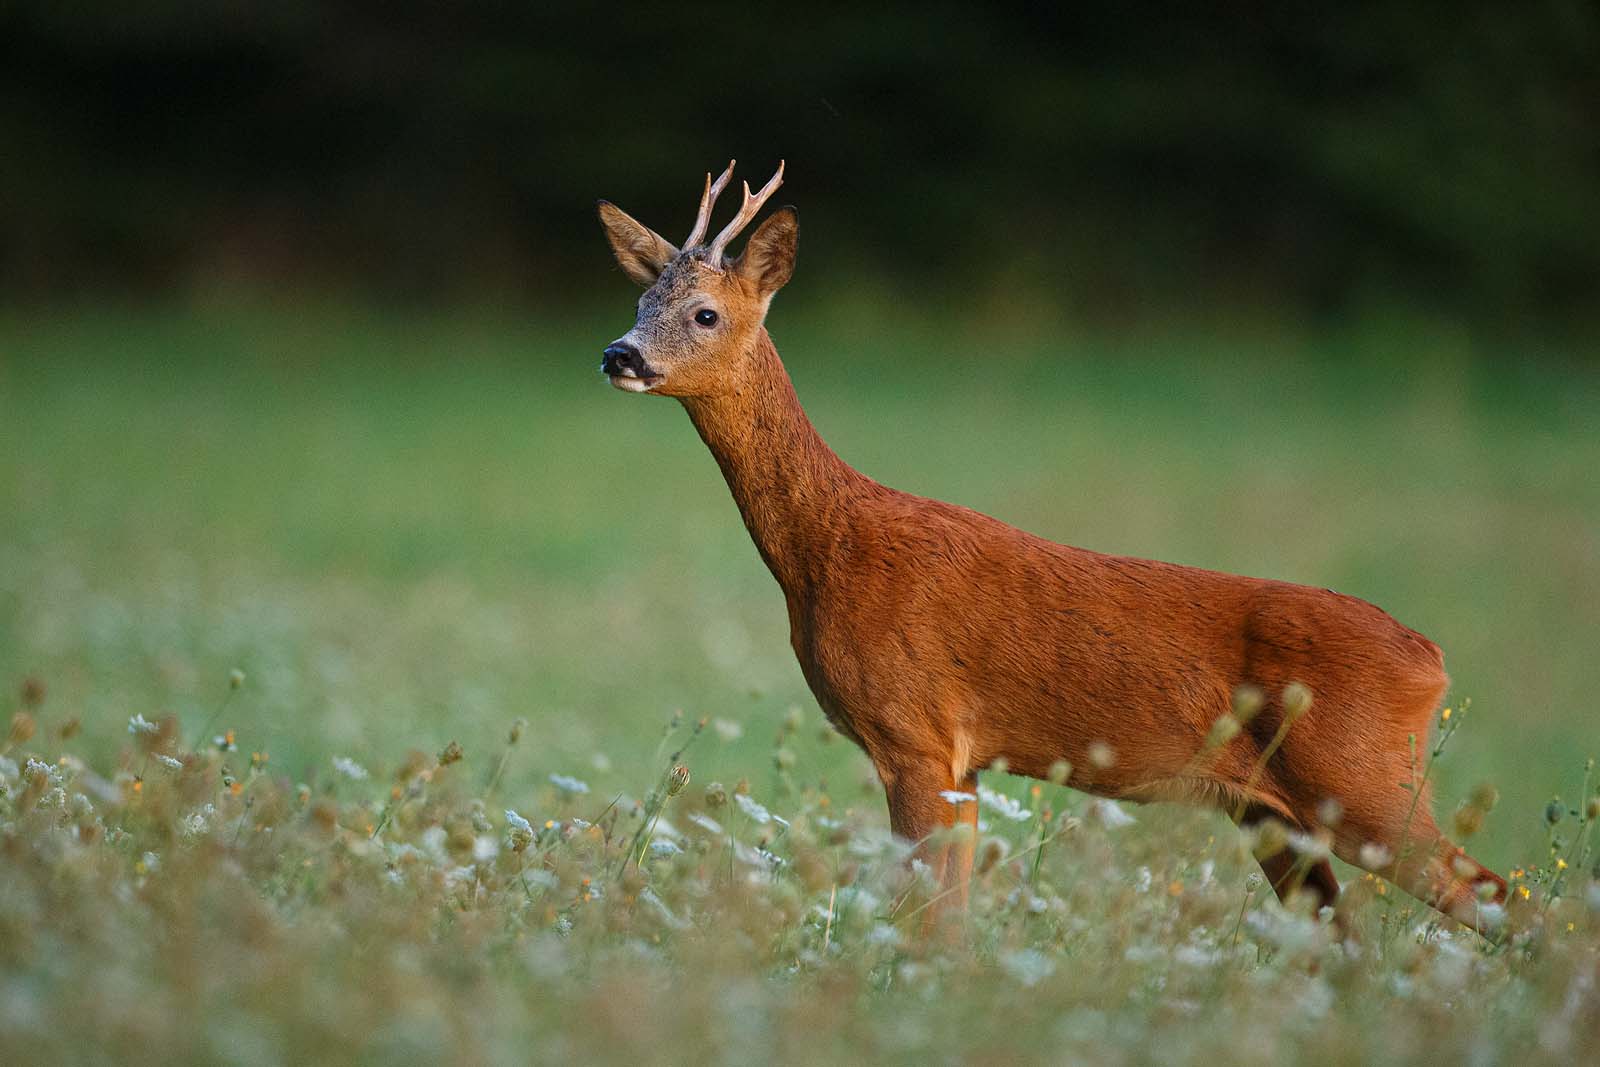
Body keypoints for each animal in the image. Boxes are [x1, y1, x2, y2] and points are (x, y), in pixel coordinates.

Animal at [595, 160, 1507, 936]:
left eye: (705, 313)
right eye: (639, 305)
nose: (618, 354)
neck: (828, 551)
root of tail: (1431, 661)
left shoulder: (915, 734)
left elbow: (931, 919)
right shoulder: (961, 762)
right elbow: (950, 921)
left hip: (1365, 787)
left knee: (1507, 899)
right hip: (1273, 813)